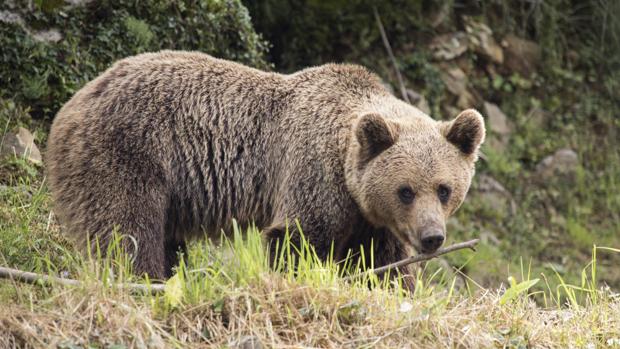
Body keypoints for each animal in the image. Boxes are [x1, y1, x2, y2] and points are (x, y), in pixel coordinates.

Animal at [47, 50, 484, 282]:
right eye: (405, 190)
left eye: (444, 189)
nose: (432, 237)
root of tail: (73, 102)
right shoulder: (313, 173)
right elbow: (297, 238)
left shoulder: (373, 220)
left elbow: (383, 264)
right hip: (129, 153)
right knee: (127, 231)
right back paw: (144, 279)